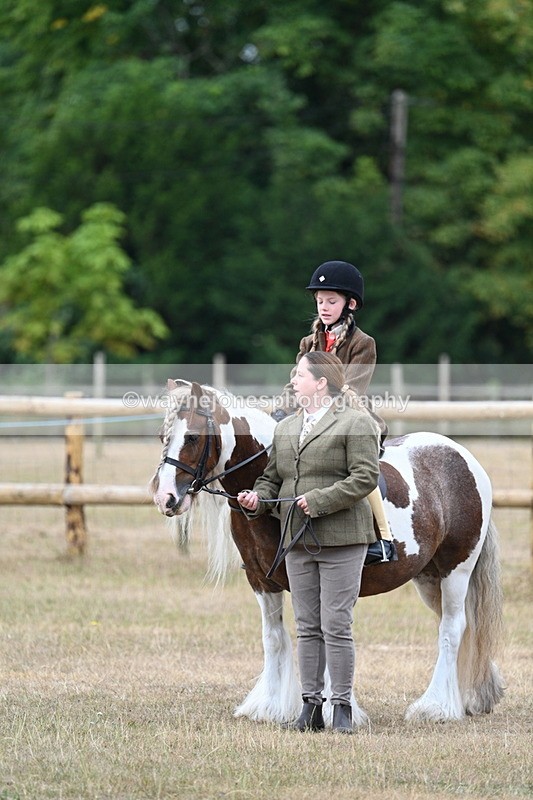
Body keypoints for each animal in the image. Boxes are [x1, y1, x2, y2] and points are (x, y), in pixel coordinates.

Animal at [150, 379, 504, 726]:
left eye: (192, 437)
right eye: (163, 437)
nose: (165, 498)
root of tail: (463, 457)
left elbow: (327, 634)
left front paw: (336, 711)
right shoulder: (262, 581)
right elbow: (274, 637)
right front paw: (271, 707)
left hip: (456, 570)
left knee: (452, 629)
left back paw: (436, 707)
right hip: (429, 577)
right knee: (456, 625)